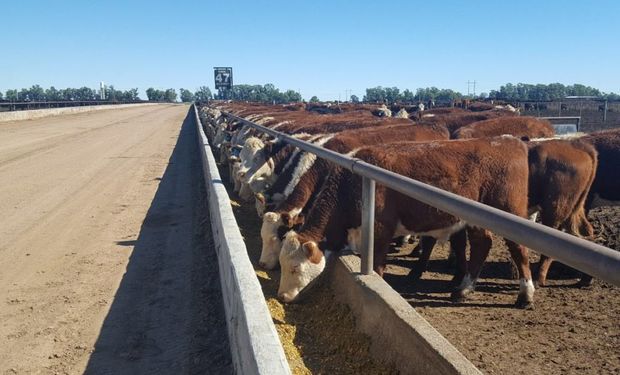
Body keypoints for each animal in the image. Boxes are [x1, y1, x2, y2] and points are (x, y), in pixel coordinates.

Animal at [276, 137, 532, 308]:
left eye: (295, 267)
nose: (282, 297)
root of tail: (507, 141)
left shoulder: (380, 230)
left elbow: (378, 266)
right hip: (476, 220)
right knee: (482, 244)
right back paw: (464, 288)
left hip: (510, 211)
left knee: (518, 248)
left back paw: (525, 294)